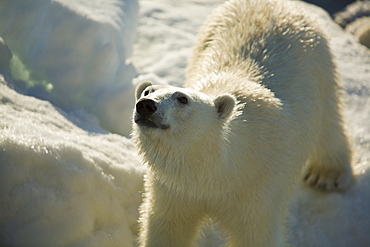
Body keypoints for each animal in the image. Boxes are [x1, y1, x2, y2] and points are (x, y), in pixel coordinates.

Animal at [132, 0, 354, 246]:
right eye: (147, 91)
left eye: (182, 98)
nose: (146, 105)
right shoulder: (175, 190)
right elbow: (168, 226)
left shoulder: (258, 187)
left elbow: (256, 232)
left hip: (319, 66)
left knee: (328, 124)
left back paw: (327, 174)